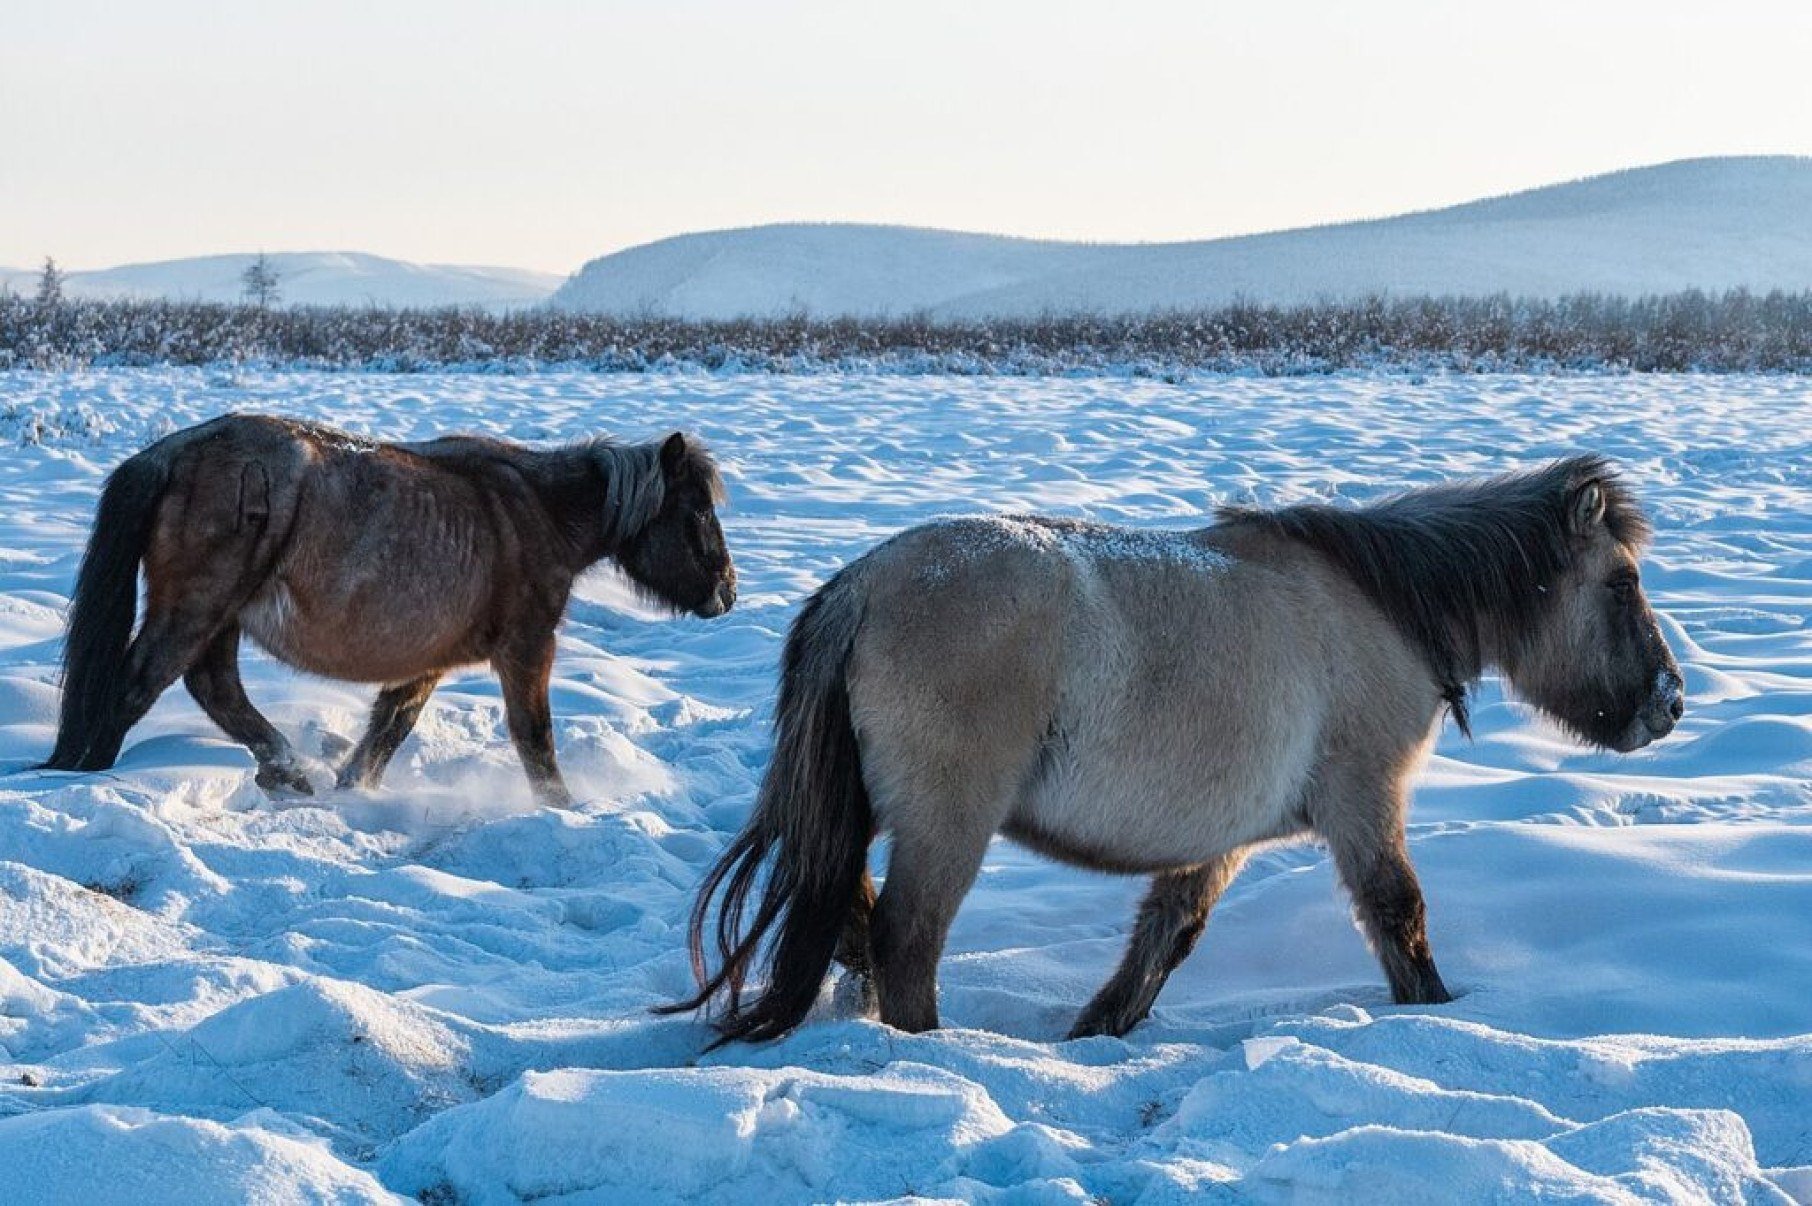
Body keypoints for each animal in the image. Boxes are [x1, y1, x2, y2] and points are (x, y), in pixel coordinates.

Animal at [43, 413, 735, 807]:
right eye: (698, 510)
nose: (727, 591)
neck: (535, 508)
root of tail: (175, 451)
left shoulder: (427, 663)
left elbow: (387, 732)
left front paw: (355, 792)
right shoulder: (527, 647)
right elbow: (534, 736)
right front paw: (563, 807)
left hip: (220, 615)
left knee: (214, 687)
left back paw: (287, 771)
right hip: (198, 605)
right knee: (138, 685)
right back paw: (89, 776)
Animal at [664, 455, 1684, 1044]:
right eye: (1621, 581)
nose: (1669, 704)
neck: (1384, 604)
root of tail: (865, 584)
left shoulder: (1219, 840)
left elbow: (1166, 936)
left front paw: (1096, 1032)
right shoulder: (1364, 804)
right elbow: (1400, 918)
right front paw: (1437, 1017)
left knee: (855, 923)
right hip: (947, 824)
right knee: (906, 939)